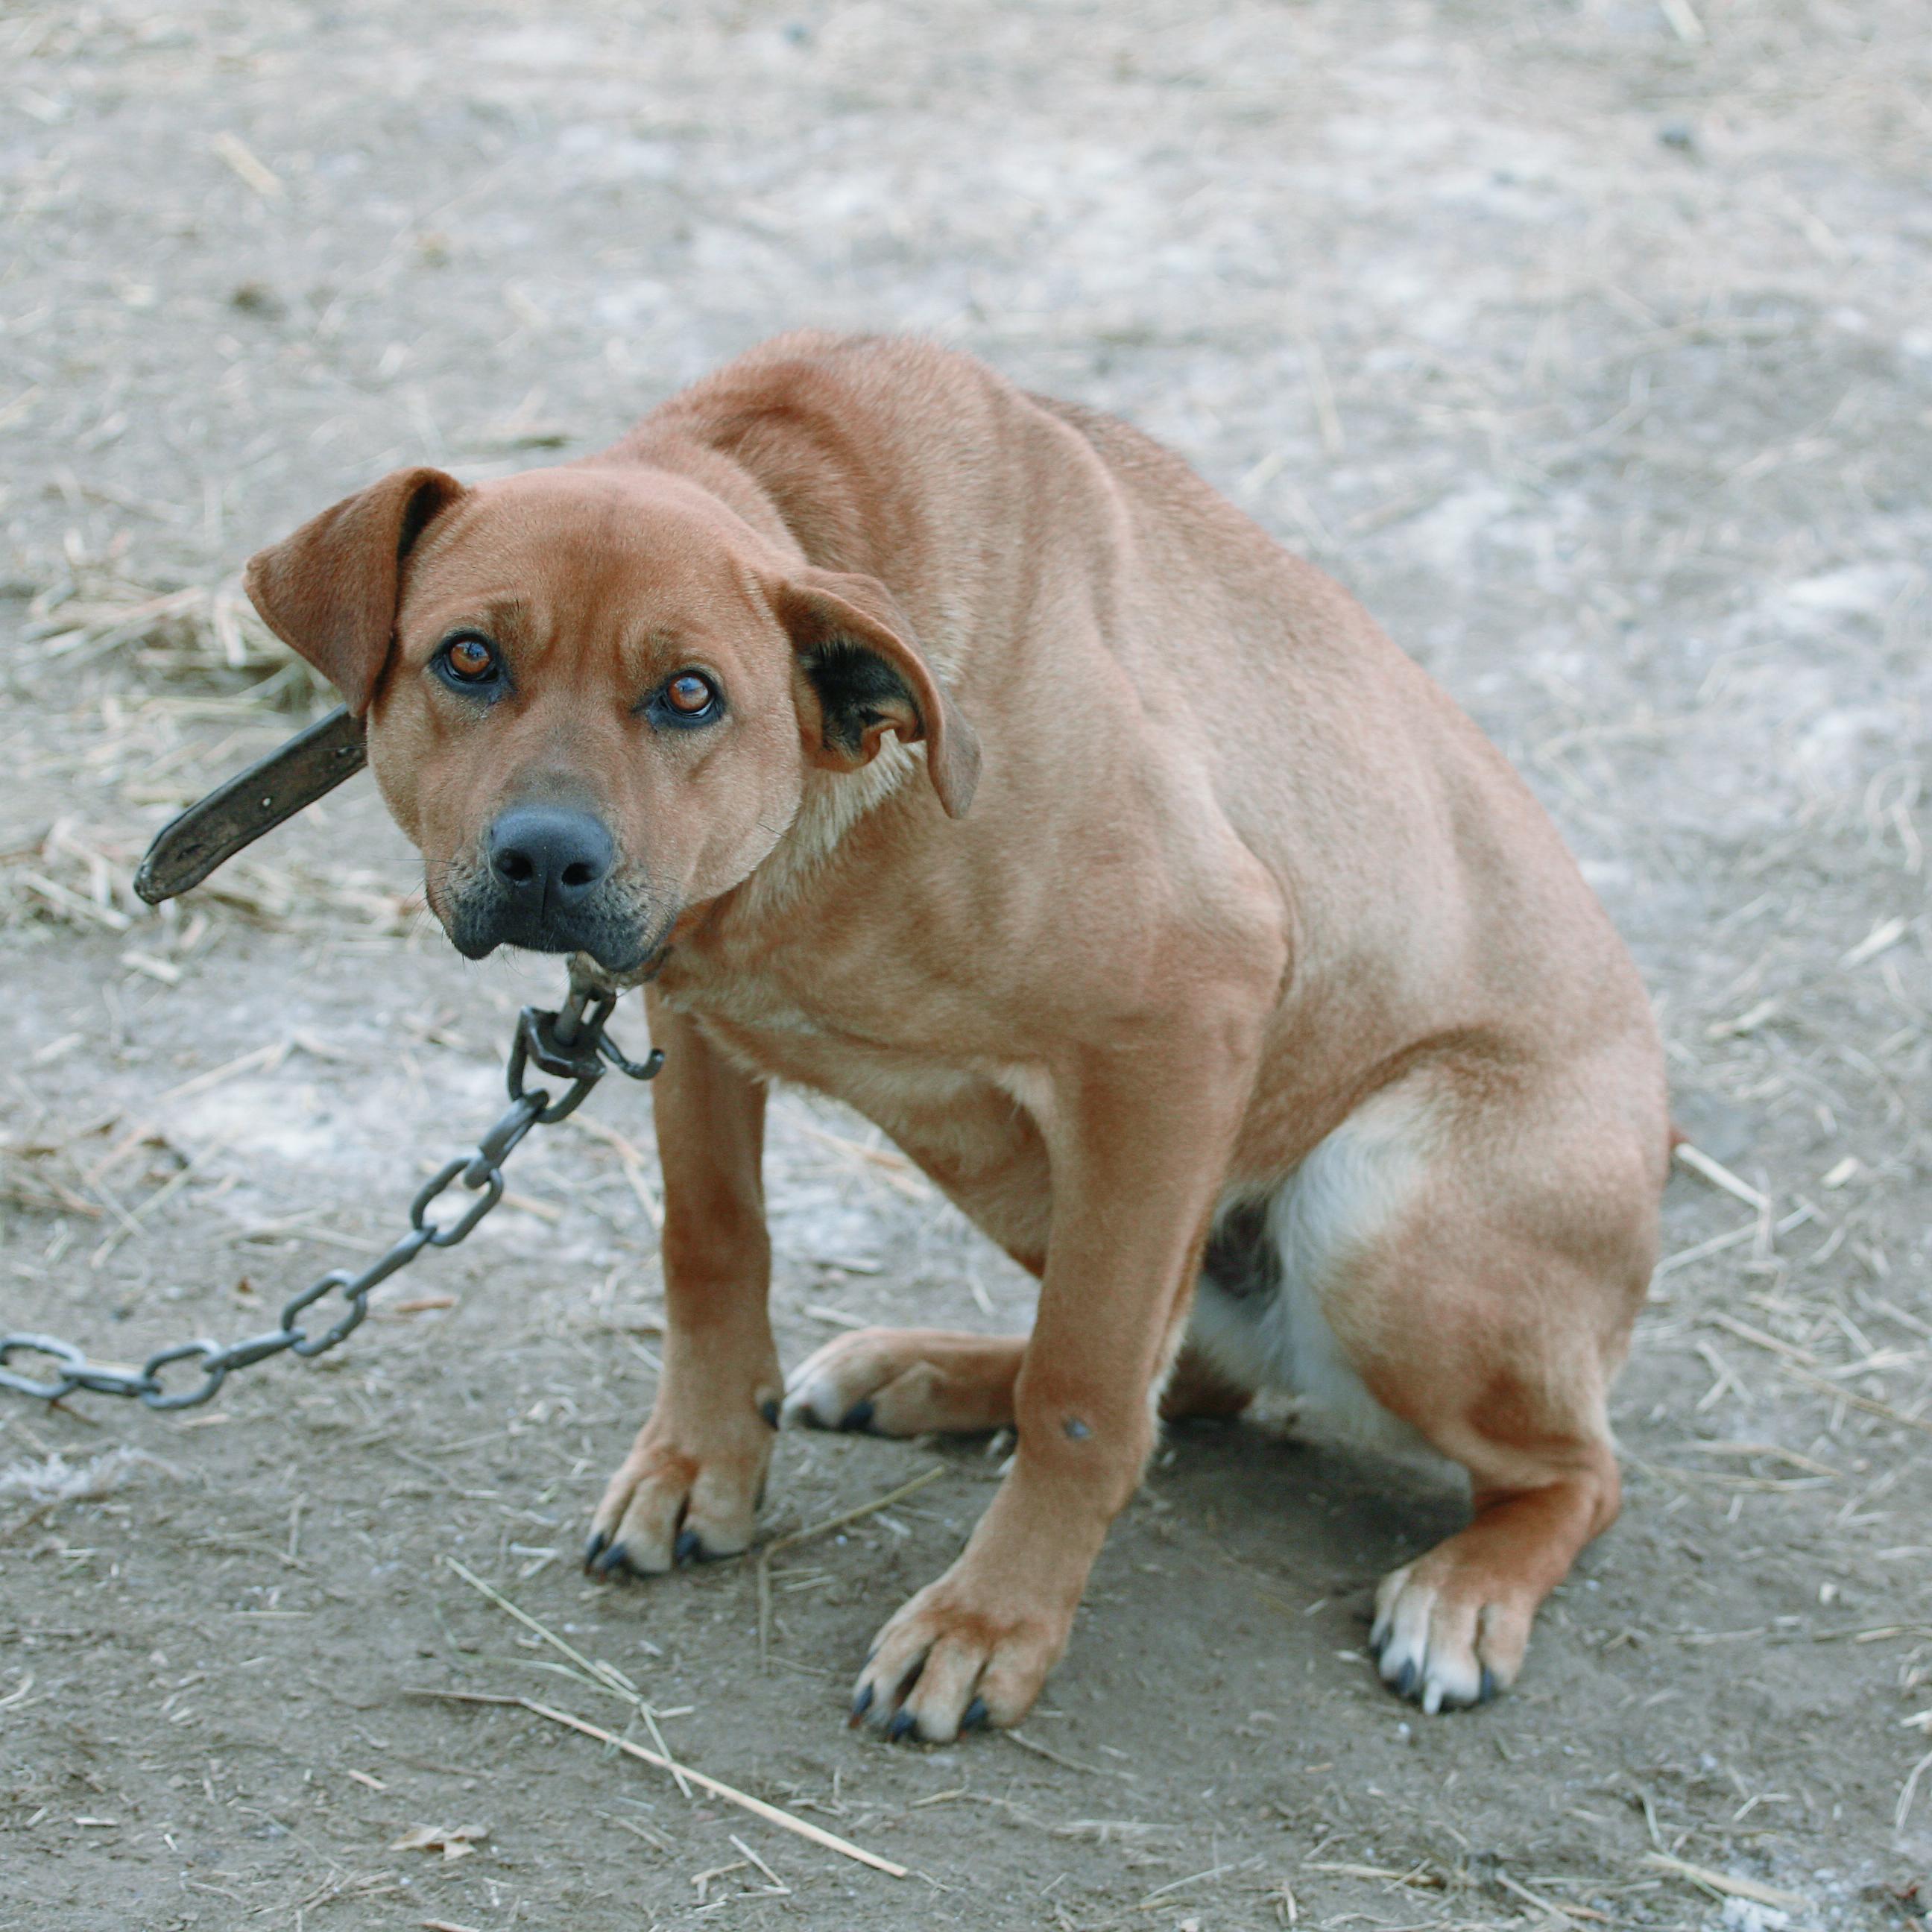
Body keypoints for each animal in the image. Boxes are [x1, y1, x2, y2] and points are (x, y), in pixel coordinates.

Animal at [237, 332, 1661, 1738]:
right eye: (469, 659)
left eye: (689, 694)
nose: (546, 859)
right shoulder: (688, 1008)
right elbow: (712, 1244)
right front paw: (701, 1465)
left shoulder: (1187, 1015)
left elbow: (1083, 1394)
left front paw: (991, 1625)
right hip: (1033, 1170)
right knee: (1198, 1368)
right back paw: (925, 1372)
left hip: (1374, 1214)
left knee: (1573, 1470)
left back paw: (1466, 1592)